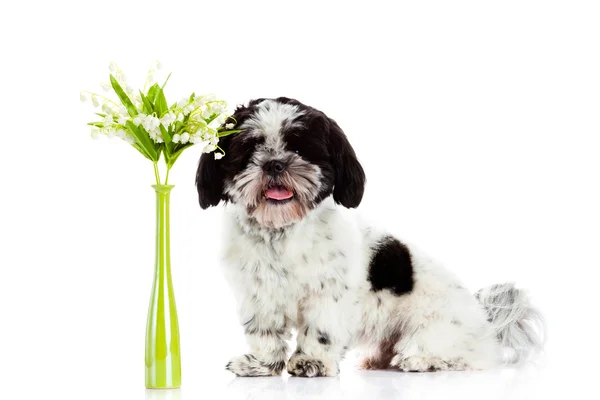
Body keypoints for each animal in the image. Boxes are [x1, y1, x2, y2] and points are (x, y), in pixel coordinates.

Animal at [196, 97, 544, 378]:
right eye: (250, 149)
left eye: (298, 149)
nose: (274, 164)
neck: (282, 232)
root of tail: (487, 321)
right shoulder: (257, 296)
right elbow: (264, 334)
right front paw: (261, 365)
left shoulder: (328, 296)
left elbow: (319, 331)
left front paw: (311, 362)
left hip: (434, 329)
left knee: (460, 357)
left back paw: (420, 360)